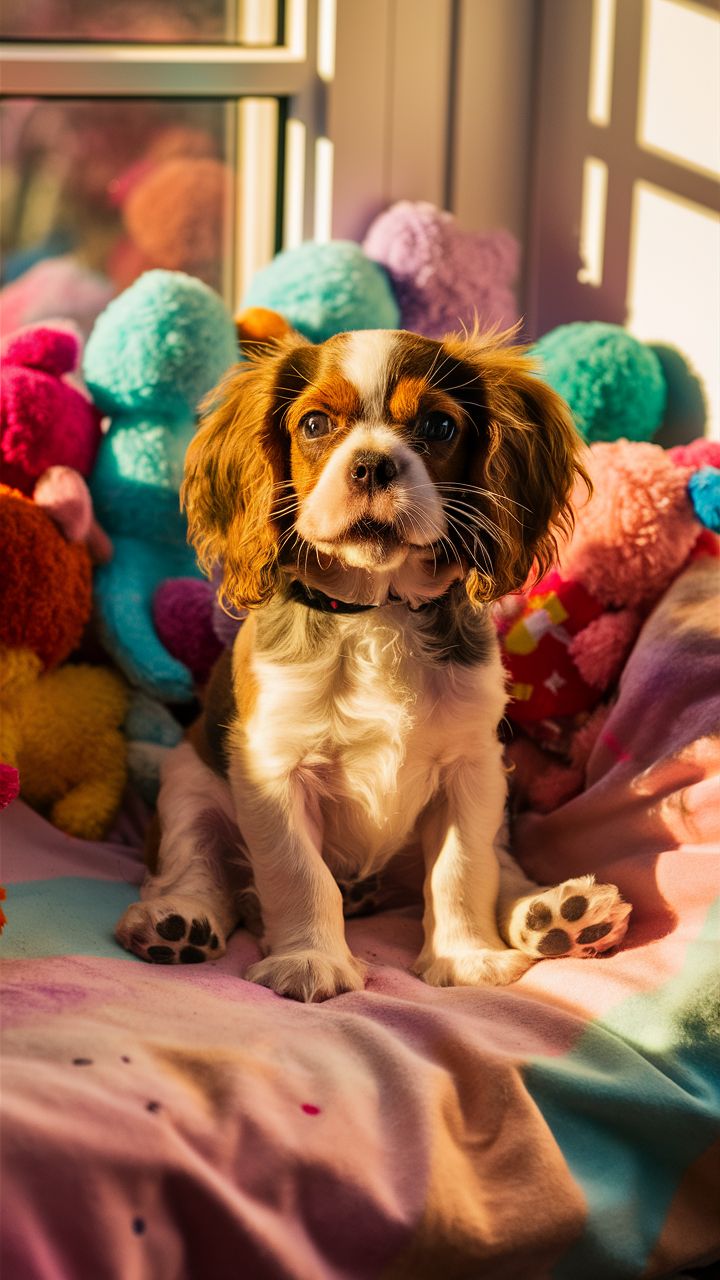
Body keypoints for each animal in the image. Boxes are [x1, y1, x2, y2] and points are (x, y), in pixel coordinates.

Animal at [116, 322, 627, 998]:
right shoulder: (274, 770)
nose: (373, 464)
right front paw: (309, 960)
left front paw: (466, 957)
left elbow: (463, 869)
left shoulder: (473, 768)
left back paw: (557, 916)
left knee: (502, 865)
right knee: (196, 864)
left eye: (439, 425)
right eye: (314, 424)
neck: (377, 612)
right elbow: (299, 873)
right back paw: (178, 922)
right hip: (187, 784)